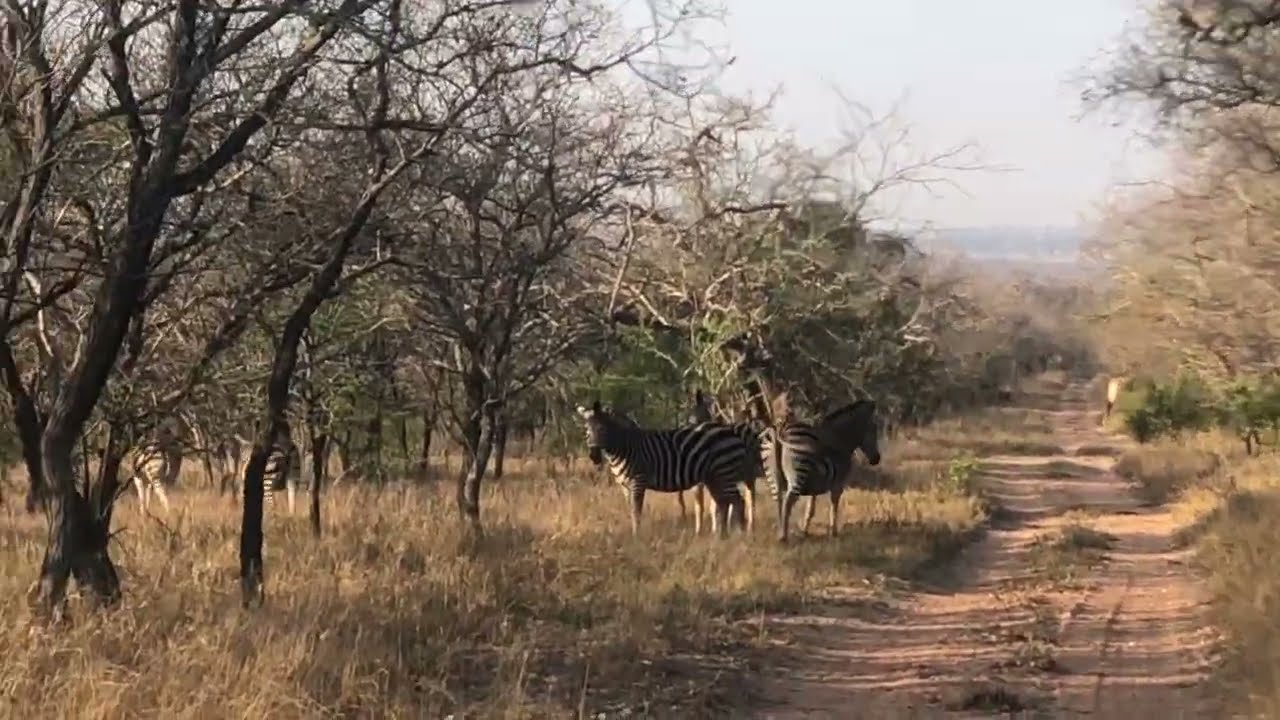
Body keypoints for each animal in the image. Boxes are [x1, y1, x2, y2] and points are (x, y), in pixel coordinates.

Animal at [576, 400, 751, 537]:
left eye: (601, 429)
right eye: (586, 430)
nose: (593, 457)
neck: (623, 448)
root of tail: (731, 432)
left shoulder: (638, 480)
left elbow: (636, 511)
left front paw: (636, 538)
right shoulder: (624, 486)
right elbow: (630, 510)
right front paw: (634, 536)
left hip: (724, 471)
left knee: (737, 500)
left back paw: (739, 535)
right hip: (714, 476)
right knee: (724, 502)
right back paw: (722, 536)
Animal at [770, 396, 881, 542]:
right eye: (874, 429)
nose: (876, 459)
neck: (840, 440)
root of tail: (782, 431)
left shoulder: (814, 486)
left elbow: (810, 510)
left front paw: (804, 532)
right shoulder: (838, 484)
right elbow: (834, 506)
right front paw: (834, 533)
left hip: (775, 475)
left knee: (779, 501)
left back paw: (780, 531)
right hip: (797, 475)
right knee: (788, 502)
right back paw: (783, 537)